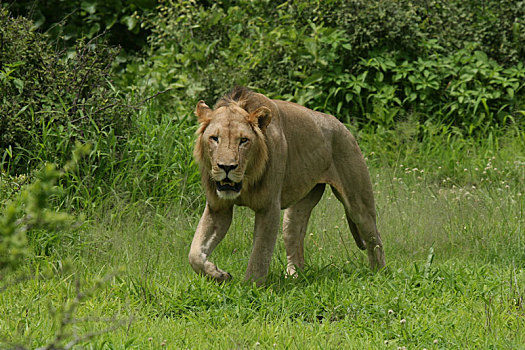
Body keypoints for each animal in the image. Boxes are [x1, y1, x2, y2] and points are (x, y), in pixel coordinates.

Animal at [188, 87, 384, 284]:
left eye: (243, 140)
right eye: (214, 138)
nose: (226, 167)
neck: (246, 181)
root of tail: (342, 126)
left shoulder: (269, 207)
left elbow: (260, 254)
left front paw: (250, 287)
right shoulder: (218, 208)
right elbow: (194, 254)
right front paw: (219, 275)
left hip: (358, 202)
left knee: (375, 238)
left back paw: (378, 274)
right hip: (297, 210)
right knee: (295, 239)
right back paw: (294, 278)